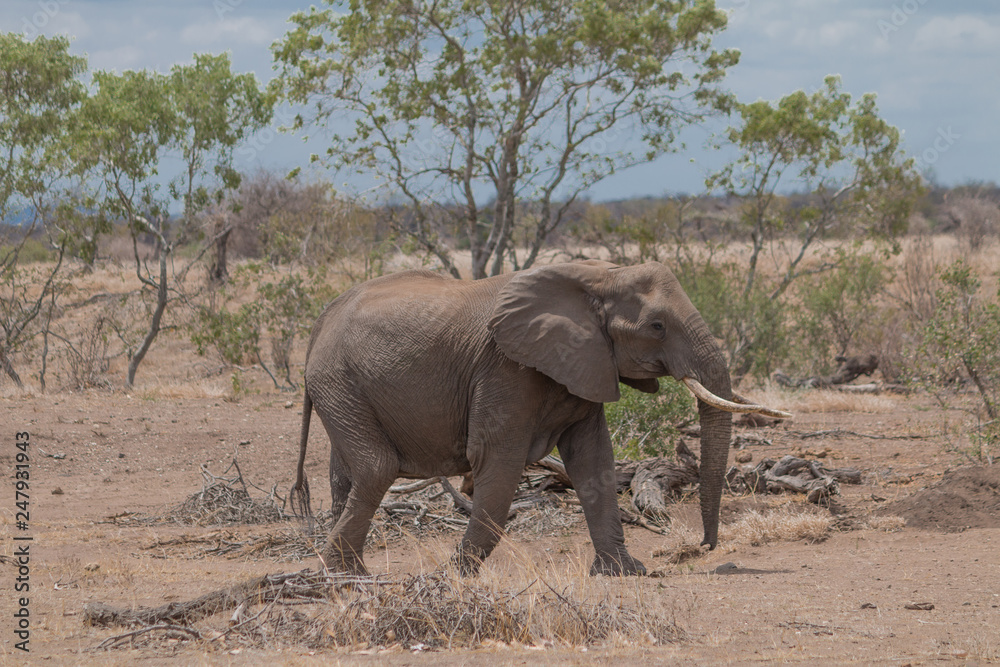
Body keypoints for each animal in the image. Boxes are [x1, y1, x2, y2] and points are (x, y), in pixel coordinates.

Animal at [290, 260, 789, 576]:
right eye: (657, 327)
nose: (703, 546)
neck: (599, 275)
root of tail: (320, 320)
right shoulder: (505, 368)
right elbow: (499, 460)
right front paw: (451, 578)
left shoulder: (585, 363)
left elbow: (593, 461)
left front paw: (625, 573)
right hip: (338, 381)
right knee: (377, 468)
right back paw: (342, 577)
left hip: (344, 390)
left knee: (348, 473)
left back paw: (352, 574)